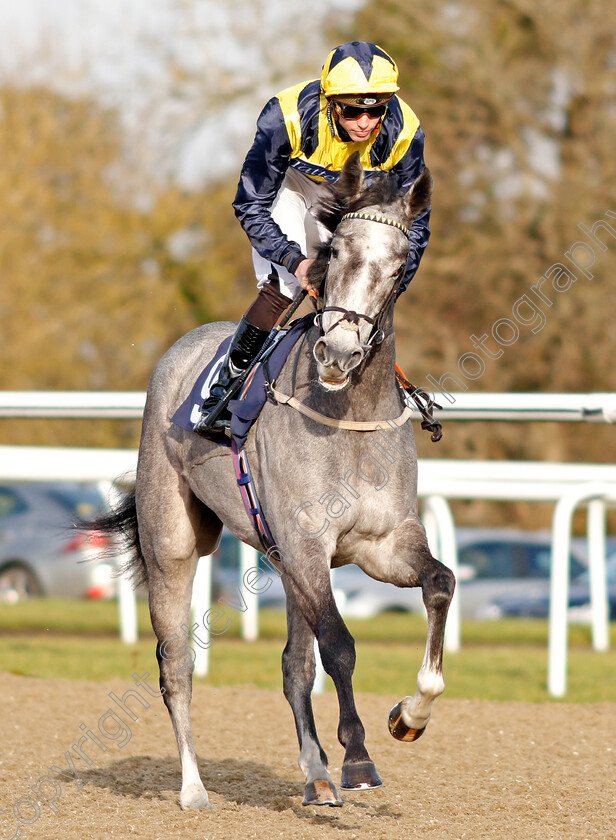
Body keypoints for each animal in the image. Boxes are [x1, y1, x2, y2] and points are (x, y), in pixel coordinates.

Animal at [95, 154, 452, 812]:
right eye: (335, 252)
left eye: (397, 267)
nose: (338, 352)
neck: (347, 416)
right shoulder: (309, 546)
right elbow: (339, 644)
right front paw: (358, 758)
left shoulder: (381, 544)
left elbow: (439, 583)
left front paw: (409, 716)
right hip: (174, 546)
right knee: (176, 665)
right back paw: (193, 788)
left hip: (283, 563)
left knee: (293, 666)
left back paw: (315, 775)